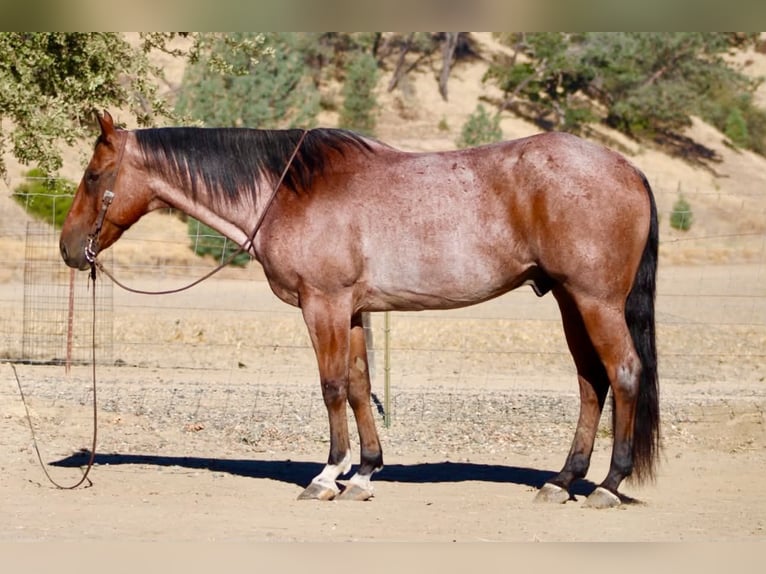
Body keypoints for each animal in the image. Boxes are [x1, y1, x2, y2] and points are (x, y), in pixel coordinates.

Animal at [60, 110, 659, 508]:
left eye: (93, 176)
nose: (68, 248)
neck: (288, 191)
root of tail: (628, 169)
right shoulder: (349, 310)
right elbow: (356, 384)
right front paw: (365, 472)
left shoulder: (322, 304)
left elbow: (331, 387)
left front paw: (327, 476)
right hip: (567, 299)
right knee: (591, 382)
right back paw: (562, 481)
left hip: (595, 301)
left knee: (624, 373)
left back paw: (609, 485)